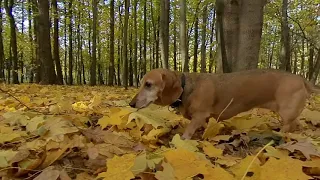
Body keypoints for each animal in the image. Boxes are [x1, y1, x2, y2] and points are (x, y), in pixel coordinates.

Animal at [129, 68, 318, 140]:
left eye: (148, 84)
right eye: (141, 83)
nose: (131, 103)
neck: (186, 87)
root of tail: (301, 78)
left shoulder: (200, 115)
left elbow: (189, 131)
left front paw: (182, 140)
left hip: (287, 112)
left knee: (288, 126)